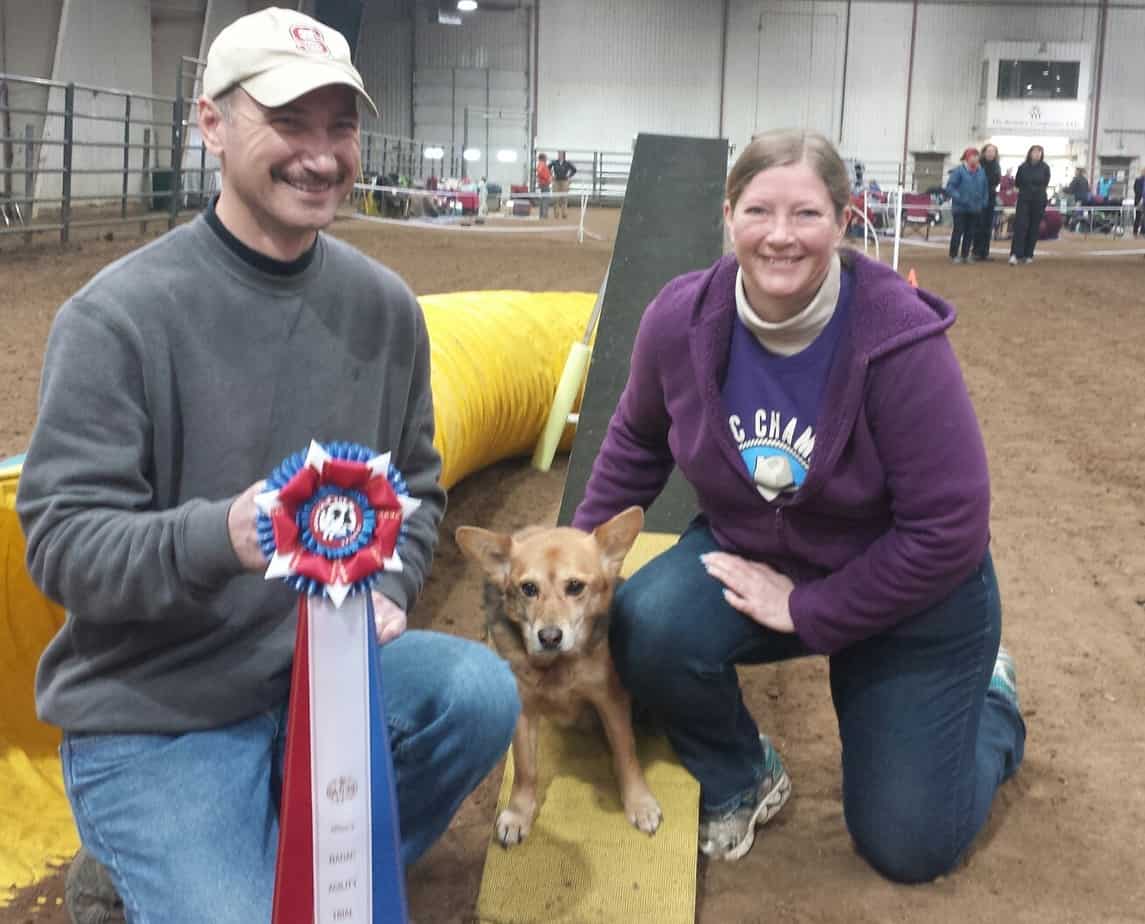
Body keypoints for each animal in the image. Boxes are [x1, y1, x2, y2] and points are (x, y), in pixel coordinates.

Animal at [451, 510, 659, 847]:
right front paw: (519, 812)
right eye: (528, 588)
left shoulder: (610, 700)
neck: (556, 665)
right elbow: (526, 768)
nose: (549, 637)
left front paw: (639, 802)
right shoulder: (523, 711)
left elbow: (626, 753)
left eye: (575, 586)